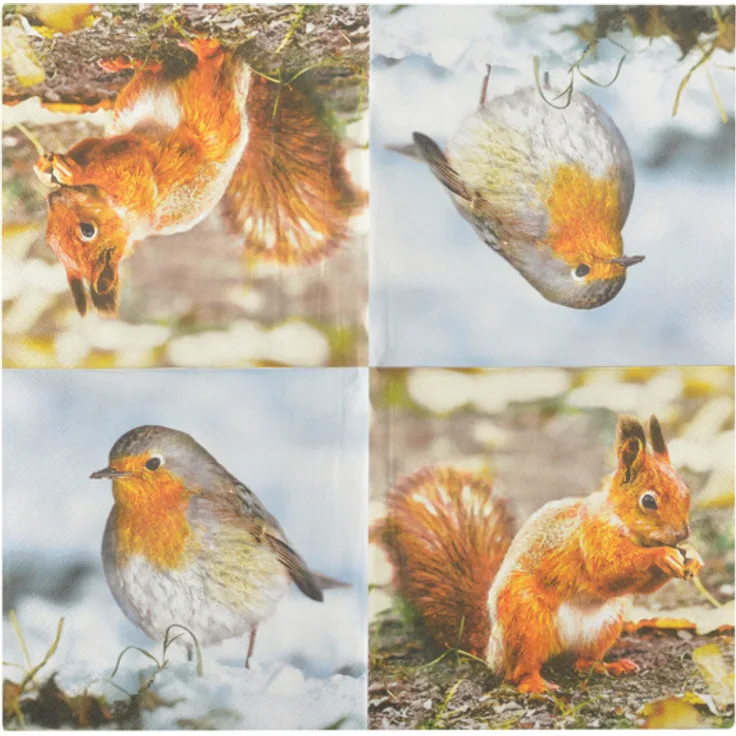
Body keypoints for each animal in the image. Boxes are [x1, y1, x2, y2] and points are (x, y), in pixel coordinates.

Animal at [34, 38, 363, 316]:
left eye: (87, 230)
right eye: (49, 240)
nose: (54, 199)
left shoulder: (135, 176)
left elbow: (113, 164)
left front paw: (70, 171)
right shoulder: (107, 146)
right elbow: (88, 146)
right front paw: (45, 168)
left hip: (208, 112)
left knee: (211, 76)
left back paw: (203, 52)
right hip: (143, 97)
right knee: (161, 72)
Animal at [372, 414, 704, 694]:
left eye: (686, 491)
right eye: (648, 501)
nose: (682, 534)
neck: (624, 524)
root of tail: (491, 648)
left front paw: (692, 557)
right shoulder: (591, 537)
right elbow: (610, 569)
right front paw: (662, 555)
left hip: (606, 623)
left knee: (582, 662)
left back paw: (607, 666)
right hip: (525, 618)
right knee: (519, 669)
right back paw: (535, 685)